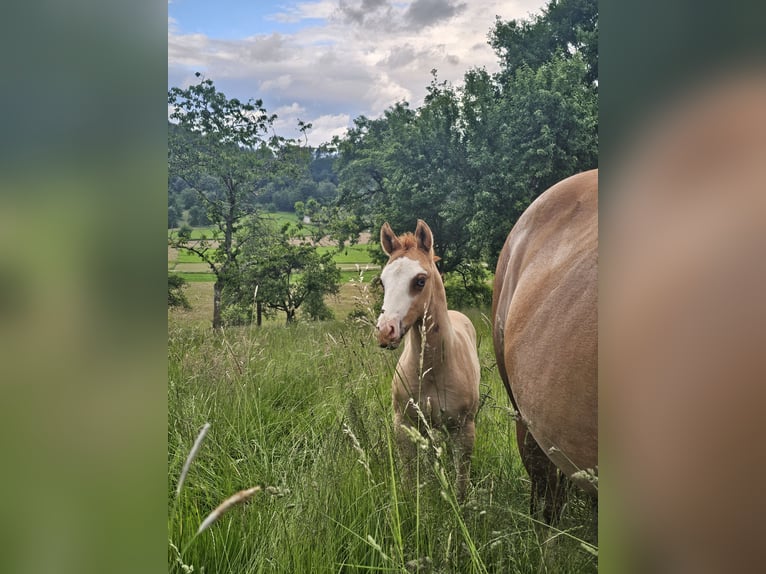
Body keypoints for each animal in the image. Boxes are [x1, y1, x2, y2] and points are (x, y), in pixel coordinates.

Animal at [376, 219, 481, 499]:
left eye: (420, 280)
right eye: (382, 282)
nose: (385, 331)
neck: (433, 369)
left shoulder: (464, 428)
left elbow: (461, 479)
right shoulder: (404, 423)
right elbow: (408, 474)